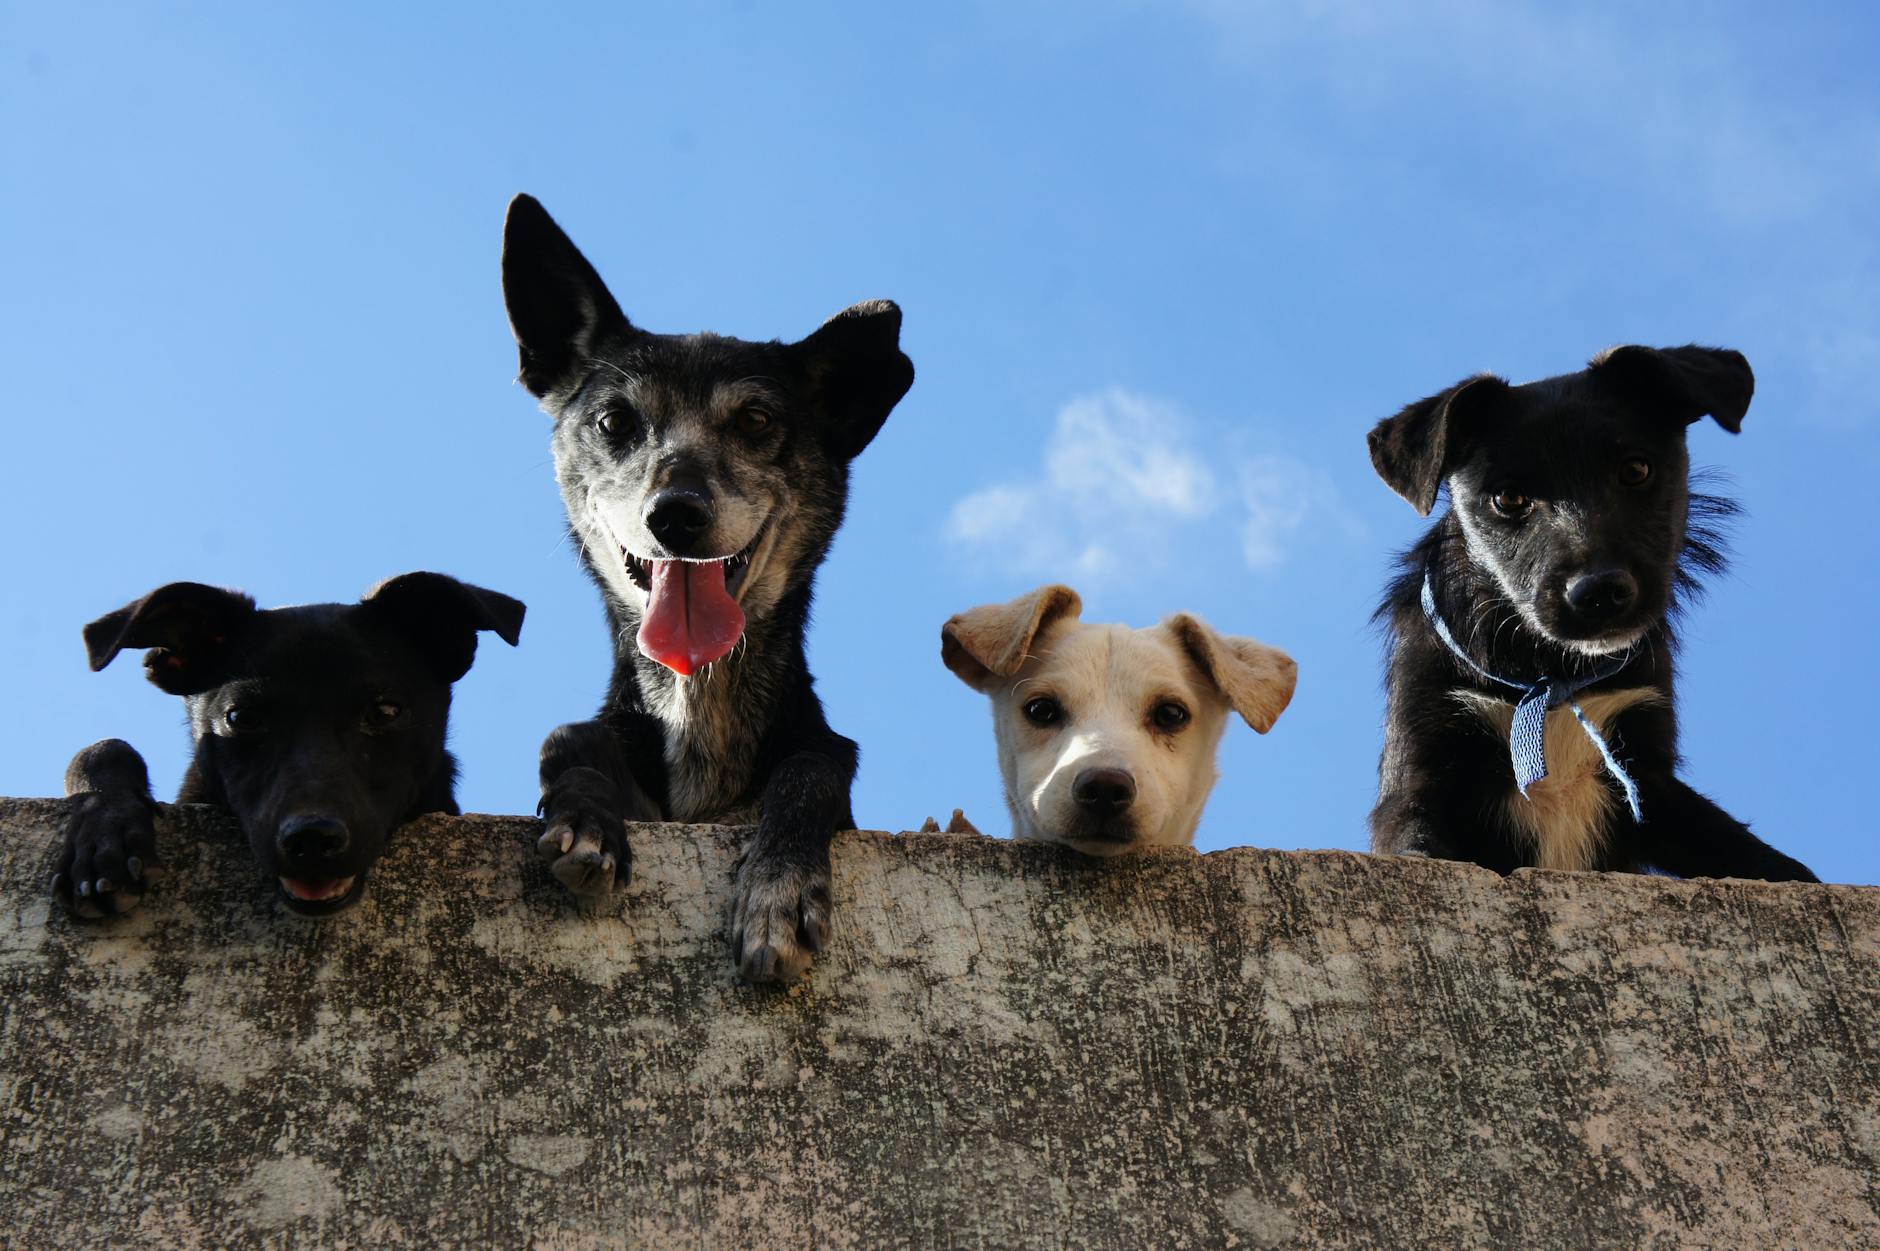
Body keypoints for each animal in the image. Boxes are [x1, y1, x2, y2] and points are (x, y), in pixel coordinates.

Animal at [496, 190, 913, 978]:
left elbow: (814, 767)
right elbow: (567, 736)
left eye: (755, 419)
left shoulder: (820, 762)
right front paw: (587, 818)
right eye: (615, 420)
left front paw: (778, 889)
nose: (675, 515)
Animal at [1376, 346, 1812, 884]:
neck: (1551, 677)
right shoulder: (1422, 772)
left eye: (1636, 470)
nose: (1599, 592)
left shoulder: (1648, 777)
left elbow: (1747, 852)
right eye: (1508, 498)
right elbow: (1417, 842)